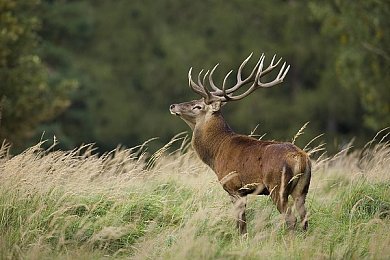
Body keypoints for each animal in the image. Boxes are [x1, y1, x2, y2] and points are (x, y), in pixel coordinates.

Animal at [169, 53, 312, 236]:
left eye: (197, 106)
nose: (173, 105)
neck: (216, 153)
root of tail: (300, 158)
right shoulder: (242, 192)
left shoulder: (233, 187)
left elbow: (240, 224)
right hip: (302, 188)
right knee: (305, 218)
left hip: (277, 187)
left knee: (291, 219)